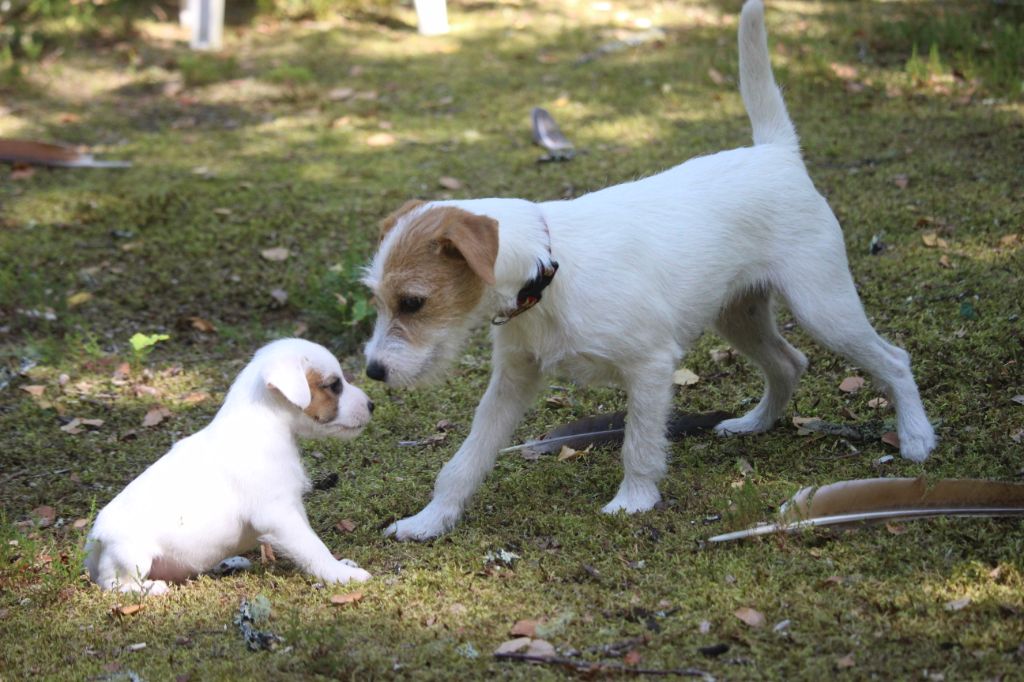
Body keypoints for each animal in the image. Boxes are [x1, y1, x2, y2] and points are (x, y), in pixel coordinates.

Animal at [83, 337, 372, 589]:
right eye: (334, 385)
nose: (372, 404)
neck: (264, 424)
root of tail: (93, 542)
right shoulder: (278, 514)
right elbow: (312, 547)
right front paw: (340, 574)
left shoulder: (291, 506)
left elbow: (310, 537)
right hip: (131, 556)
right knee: (115, 584)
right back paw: (153, 588)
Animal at [360, 1, 937, 540]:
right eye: (379, 301)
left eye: (413, 302)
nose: (373, 372)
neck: (548, 270)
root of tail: (776, 153)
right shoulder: (513, 380)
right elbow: (464, 460)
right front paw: (429, 520)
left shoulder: (651, 366)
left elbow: (638, 444)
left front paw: (633, 501)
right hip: (739, 314)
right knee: (788, 362)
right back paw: (754, 424)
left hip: (823, 305)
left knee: (893, 358)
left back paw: (916, 438)